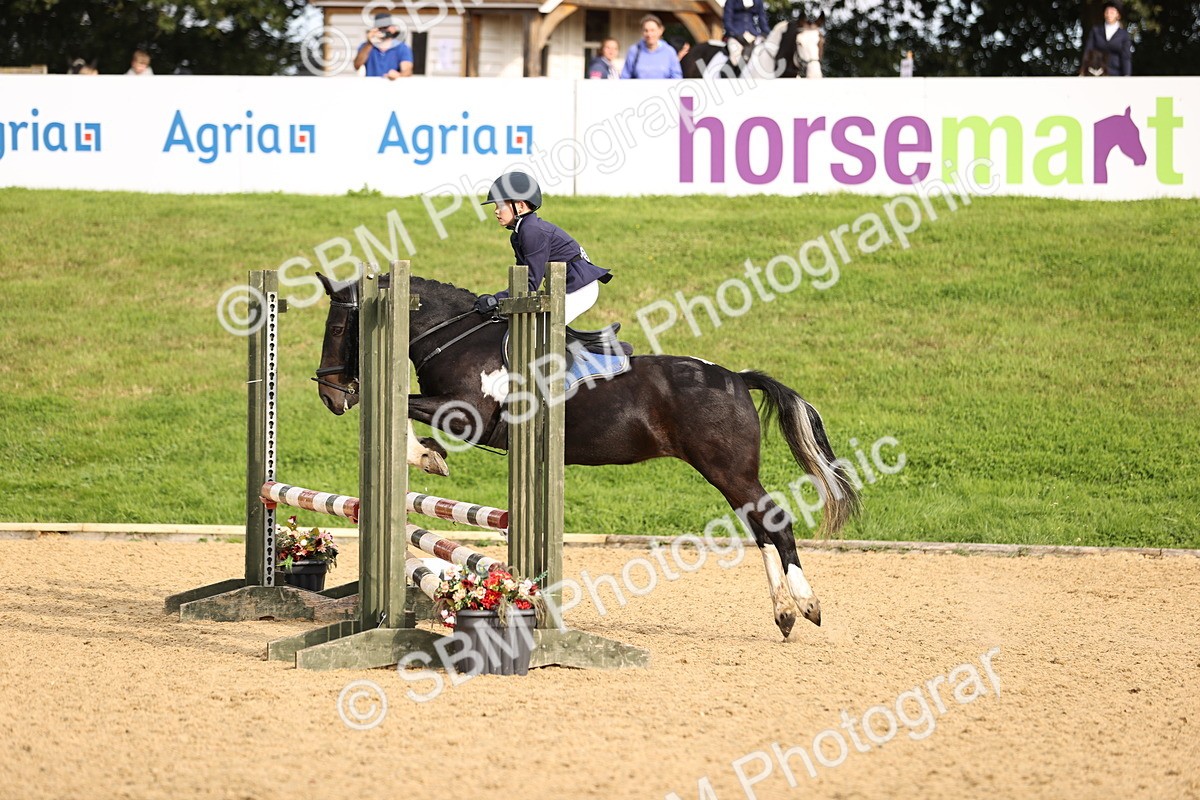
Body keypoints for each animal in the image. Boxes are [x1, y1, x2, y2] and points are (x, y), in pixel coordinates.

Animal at [312, 273, 859, 640]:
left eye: (338, 330)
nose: (329, 395)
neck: (454, 337)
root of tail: (737, 378)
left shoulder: (466, 414)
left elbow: (400, 403)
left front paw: (424, 457)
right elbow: (398, 404)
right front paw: (429, 454)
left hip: (728, 469)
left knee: (775, 524)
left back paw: (804, 606)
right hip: (727, 472)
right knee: (760, 528)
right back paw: (783, 613)